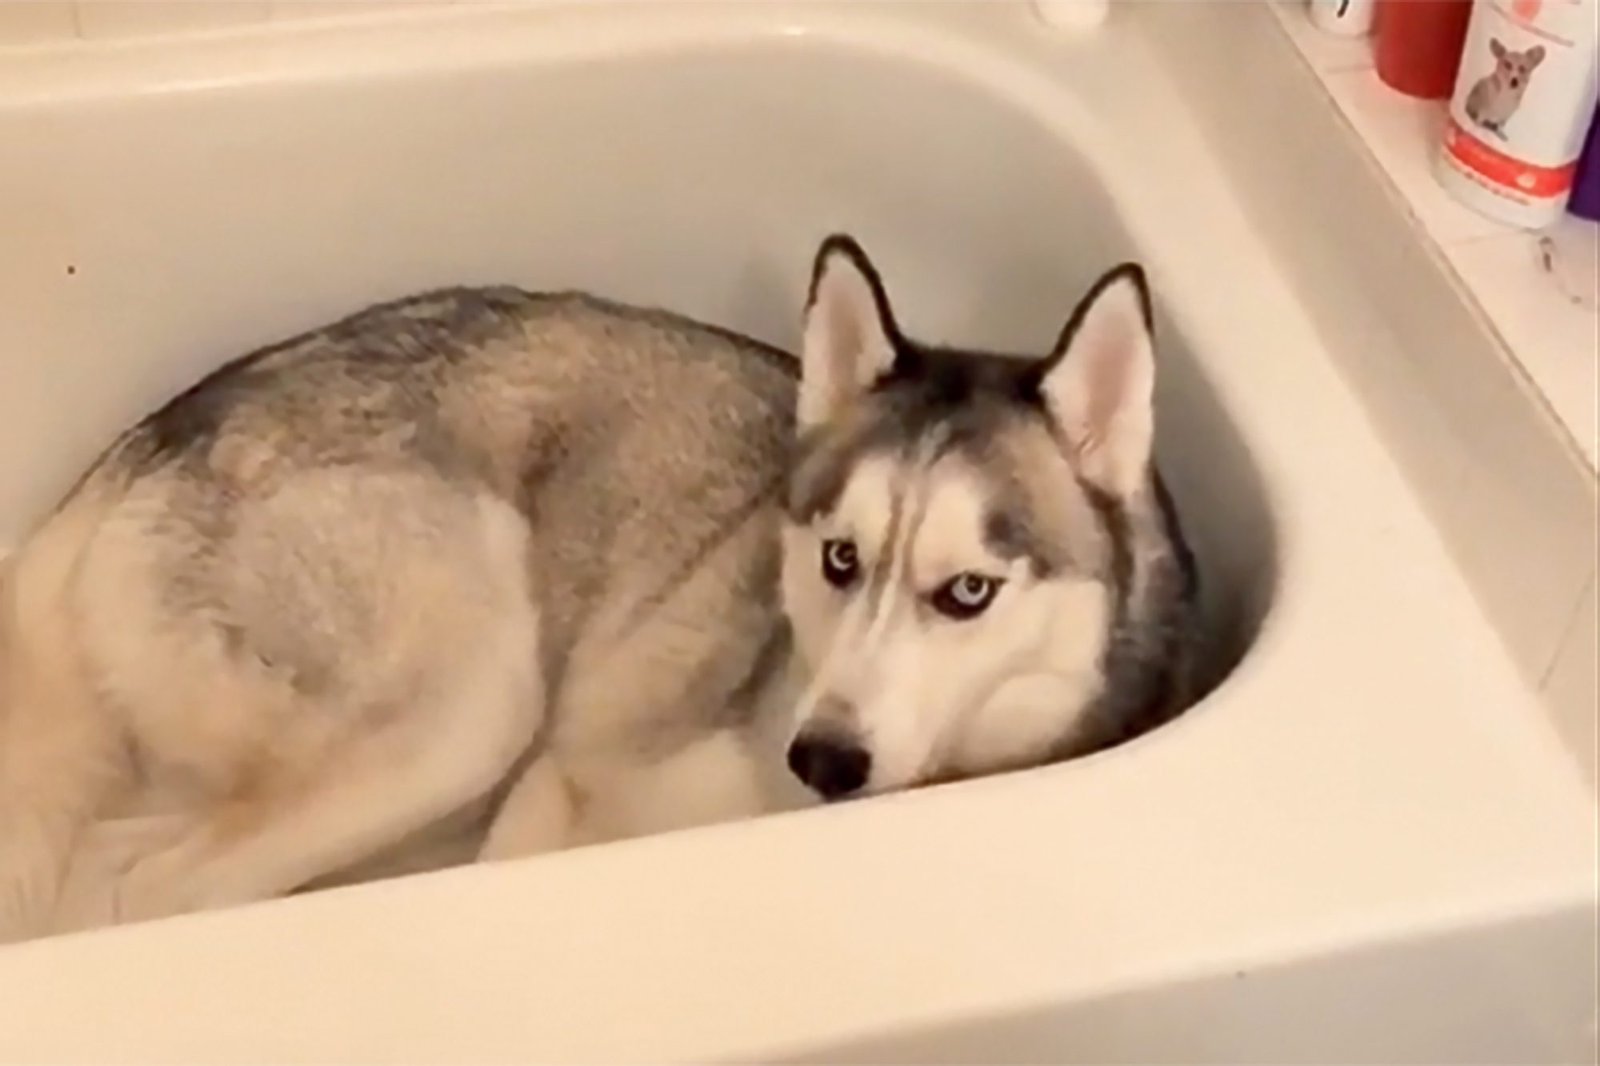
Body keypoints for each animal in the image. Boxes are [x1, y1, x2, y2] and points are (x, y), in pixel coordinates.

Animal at [0, 235, 1196, 941]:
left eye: (968, 592)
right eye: (839, 558)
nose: (821, 758)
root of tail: (155, 436)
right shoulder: (560, 772)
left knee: (112, 860)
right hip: (474, 705)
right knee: (170, 886)